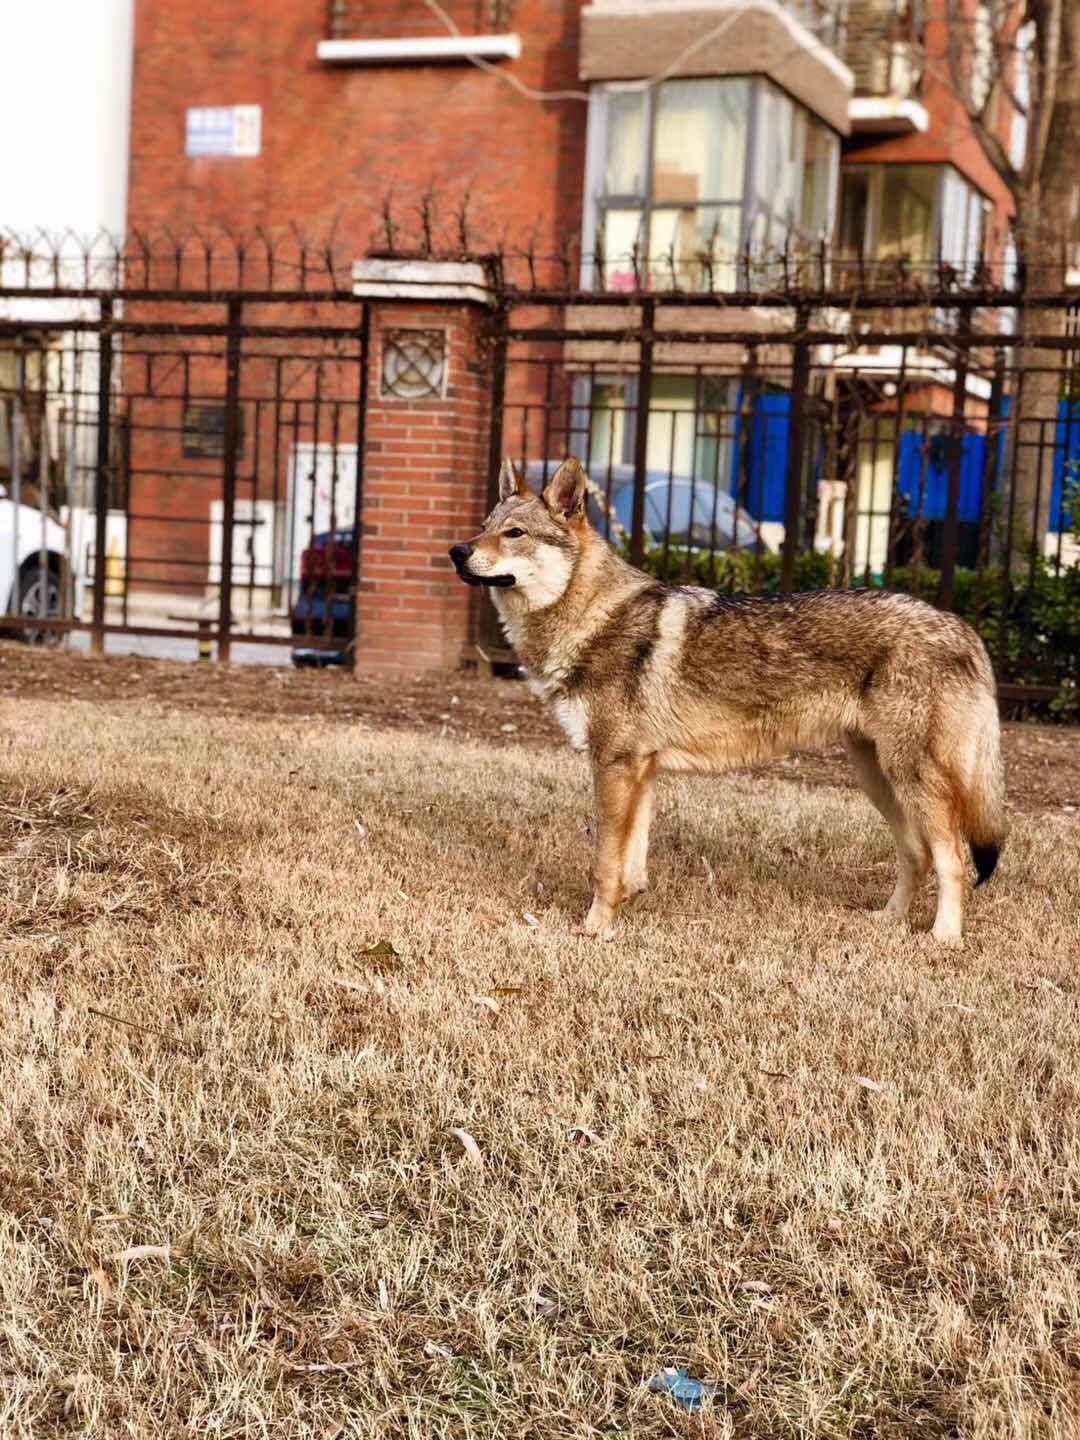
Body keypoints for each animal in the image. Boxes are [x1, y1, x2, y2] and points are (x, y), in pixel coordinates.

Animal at [449, 455, 1008, 938]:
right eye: (483, 526)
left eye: (514, 533)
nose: (457, 551)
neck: (592, 617)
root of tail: (963, 628)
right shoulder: (642, 771)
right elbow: (632, 861)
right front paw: (625, 908)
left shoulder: (614, 765)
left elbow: (604, 863)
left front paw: (594, 928)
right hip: (879, 779)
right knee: (918, 855)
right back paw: (887, 921)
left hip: (911, 780)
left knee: (954, 859)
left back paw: (943, 938)